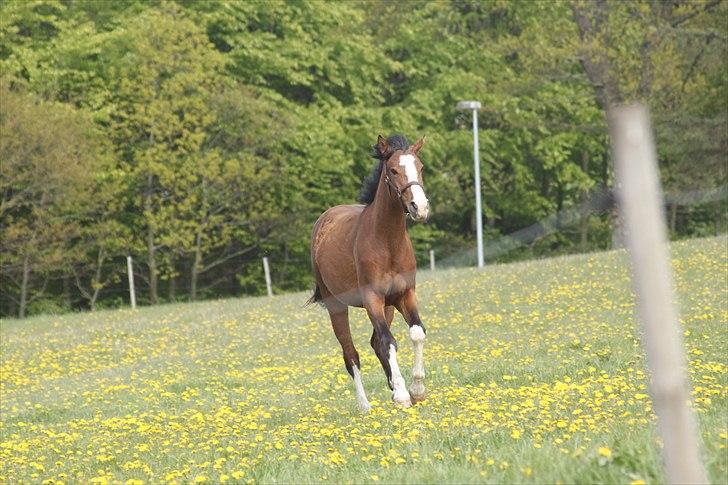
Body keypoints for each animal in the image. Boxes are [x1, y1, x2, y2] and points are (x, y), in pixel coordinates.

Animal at [308, 134, 432, 410]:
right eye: (393, 170)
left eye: (420, 167)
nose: (419, 207)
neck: (388, 242)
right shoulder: (371, 298)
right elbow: (388, 342)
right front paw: (403, 395)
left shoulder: (405, 295)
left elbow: (416, 333)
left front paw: (416, 390)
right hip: (337, 306)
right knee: (351, 353)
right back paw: (364, 405)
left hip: (388, 306)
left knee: (375, 342)